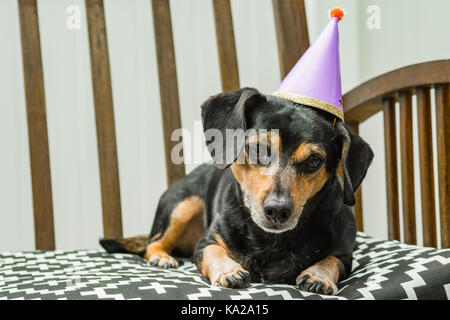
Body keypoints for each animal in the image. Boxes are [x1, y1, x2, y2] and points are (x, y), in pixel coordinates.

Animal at [100, 87, 374, 296]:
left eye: (314, 161)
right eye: (259, 149)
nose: (277, 210)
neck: (271, 240)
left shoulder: (344, 253)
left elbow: (332, 260)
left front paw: (319, 275)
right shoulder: (206, 243)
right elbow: (214, 252)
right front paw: (228, 270)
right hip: (182, 205)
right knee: (152, 243)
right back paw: (161, 256)